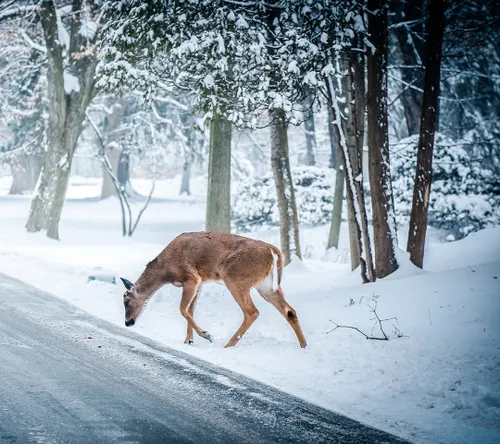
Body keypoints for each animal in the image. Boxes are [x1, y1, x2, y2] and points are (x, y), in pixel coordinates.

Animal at [121, 231, 308, 348]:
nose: (127, 322)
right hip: (266, 286)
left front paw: (206, 334)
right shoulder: (200, 282)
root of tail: (274, 252)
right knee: (290, 311)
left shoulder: (191, 277)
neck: (166, 271)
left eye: (125, 300)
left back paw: (228, 344)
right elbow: (191, 309)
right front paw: (189, 340)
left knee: (252, 311)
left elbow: (182, 309)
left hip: (234, 277)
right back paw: (304, 346)